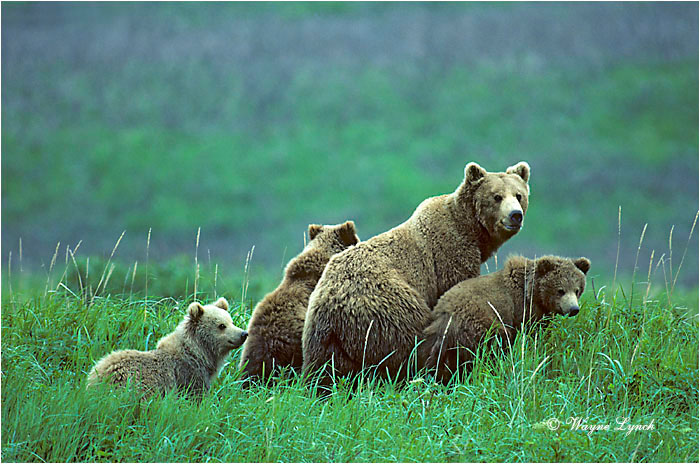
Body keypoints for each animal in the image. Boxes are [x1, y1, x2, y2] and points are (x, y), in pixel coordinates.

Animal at [302, 161, 530, 382]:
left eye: (519, 195)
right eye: (497, 196)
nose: (515, 215)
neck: (471, 231)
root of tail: (333, 310)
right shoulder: (449, 255)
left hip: (321, 339)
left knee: (324, 372)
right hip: (389, 309)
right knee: (409, 347)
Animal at [420, 255, 591, 382]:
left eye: (577, 289)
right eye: (560, 290)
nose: (574, 309)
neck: (533, 294)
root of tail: (446, 317)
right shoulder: (522, 312)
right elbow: (532, 336)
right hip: (481, 325)